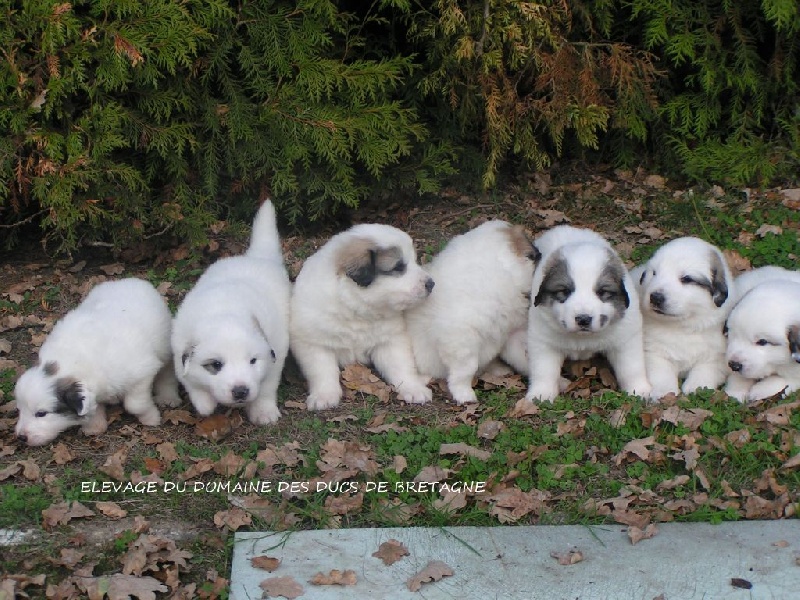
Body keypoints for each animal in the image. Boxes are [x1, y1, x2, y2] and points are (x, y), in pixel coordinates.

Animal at [14, 278, 180, 448]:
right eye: (20, 410)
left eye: (41, 413)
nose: (21, 437)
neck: (75, 361)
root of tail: (129, 279)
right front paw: (94, 427)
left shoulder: (141, 374)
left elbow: (135, 405)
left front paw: (151, 418)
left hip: (165, 347)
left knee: (167, 373)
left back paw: (168, 397)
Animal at [171, 199, 290, 424]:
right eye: (216, 364)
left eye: (252, 361)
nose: (241, 391)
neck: (223, 310)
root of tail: (255, 257)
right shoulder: (178, 351)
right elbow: (190, 381)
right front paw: (205, 404)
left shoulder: (276, 350)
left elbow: (267, 385)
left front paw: (263, 412)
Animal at [290, 223, 434, 410]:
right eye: (398, 267)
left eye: (415, 261)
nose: (431, 284)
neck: (356, 308)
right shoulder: (313, 342)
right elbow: (322, 370)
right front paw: (324, 396)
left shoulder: (390, 340)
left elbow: (401, 366)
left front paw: (414, 388)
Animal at [524, 225, 648, 404]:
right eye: (564, 291)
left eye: (602, 292)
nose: (583, 319)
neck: (583, 338)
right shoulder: (543, 340)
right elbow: (544, 369)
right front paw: (541, 394)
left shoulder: (626, 338)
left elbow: (631, 367)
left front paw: (639, 390)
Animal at [628, 237, 736, 400]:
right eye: (654, 273)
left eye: (686, 279)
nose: (655, 297)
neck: (682, 326)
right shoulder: (653, 352)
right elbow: (662, 372)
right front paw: (665, 393)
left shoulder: (717, 356)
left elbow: (705, 369)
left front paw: (696, 387)